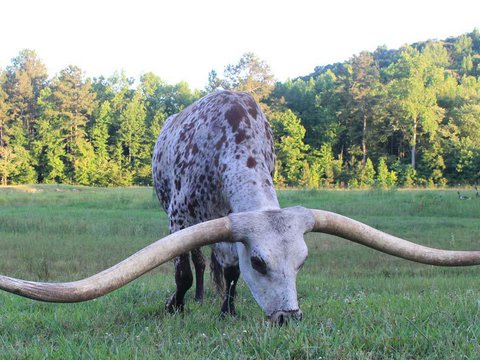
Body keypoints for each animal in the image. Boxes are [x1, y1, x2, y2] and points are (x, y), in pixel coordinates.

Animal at [0, 91, 480, 324]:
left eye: (302, 262)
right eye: (261, 262)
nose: (288, 318)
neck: (232, 140)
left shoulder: (227, 224)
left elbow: (228, 269)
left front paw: (227, 308)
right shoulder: (180, 216)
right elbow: (182, 267)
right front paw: (176, 304)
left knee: (211, 262)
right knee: (195, 260)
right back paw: (192, 297)